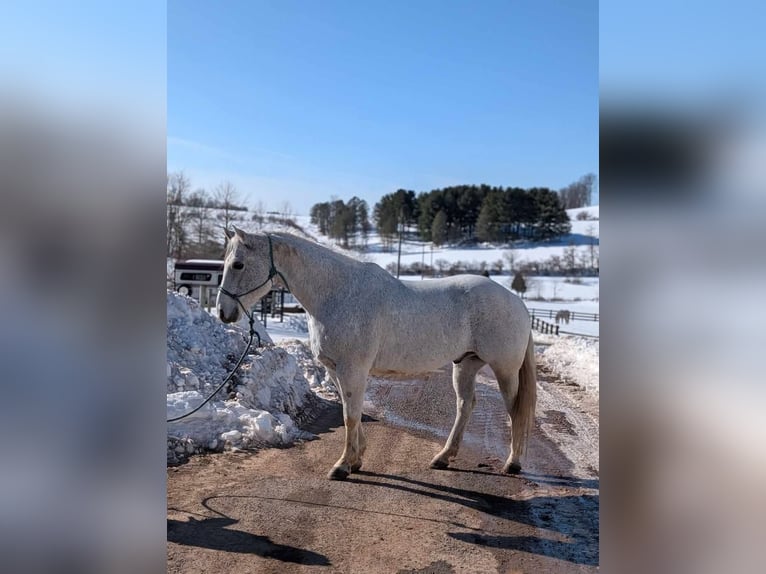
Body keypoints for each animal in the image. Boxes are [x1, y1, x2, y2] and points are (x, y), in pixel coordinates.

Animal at [217, 228, 537, 480]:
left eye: (238, 264)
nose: (223, 312)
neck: (337, 293)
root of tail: (517, 302)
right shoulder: (335, 369)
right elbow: (352, 412)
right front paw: (356, 460)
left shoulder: (352, 369)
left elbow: (350, 416)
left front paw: (342, 466)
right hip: (465, 365)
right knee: (465, 406)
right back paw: (443, 458)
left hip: (504, 369)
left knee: (514, 409)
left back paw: (512, 463)